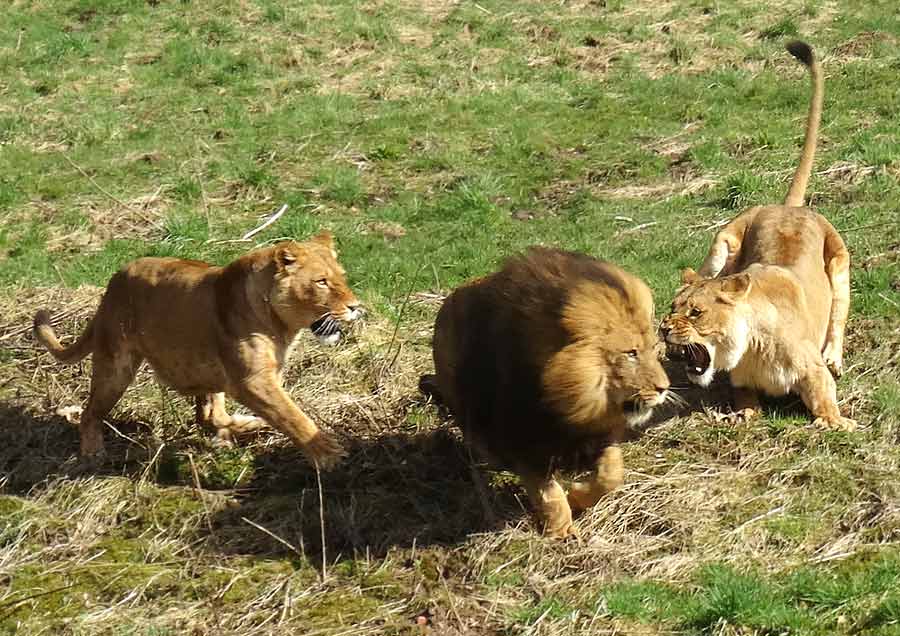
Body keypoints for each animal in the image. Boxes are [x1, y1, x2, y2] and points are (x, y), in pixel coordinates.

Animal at [33, 231, 360, 464]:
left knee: (207, 417)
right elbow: (292, 415)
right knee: (90, 412)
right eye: (321, 282)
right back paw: (92, 452)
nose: (357, 307)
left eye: (342, 278)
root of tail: (114, 282)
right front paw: (327, 453)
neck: (281, 325)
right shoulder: (252, 381)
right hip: (116, 366)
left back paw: (243, 426)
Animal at [420, 247, 668, 536]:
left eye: (654, 349)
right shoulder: (526, 440)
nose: (664, 388)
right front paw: (561, 531)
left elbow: (611, 475)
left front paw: (578, 497)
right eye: (630, 353)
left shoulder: (598, 433)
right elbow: (547, 492)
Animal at [656, 42, 856, 432]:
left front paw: (838, 423)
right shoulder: (741, 381)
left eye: (696, 312)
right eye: (672, 308)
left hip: (840, 266)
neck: (750, 347)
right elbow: (746, 400)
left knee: (838, 319)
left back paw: (836, 357)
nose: (662, 328)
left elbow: (824, 399)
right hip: (721, 246)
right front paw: (743, 415)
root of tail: (788, 207)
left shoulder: (812, 370)